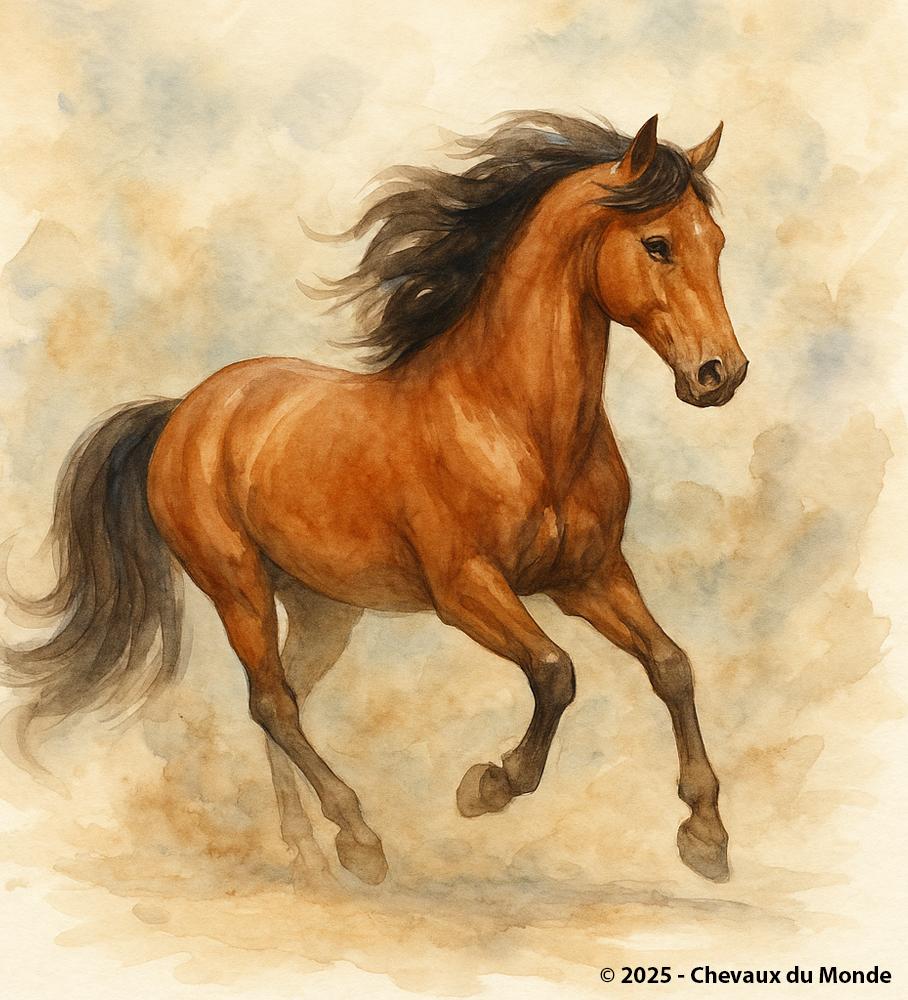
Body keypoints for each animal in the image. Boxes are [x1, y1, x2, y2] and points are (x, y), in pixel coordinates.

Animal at [3, 112, 748, 886]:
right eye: (658, 244)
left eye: (717, 242)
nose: (720, 373)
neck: (516, 423)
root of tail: (185, 411)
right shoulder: (466, 589)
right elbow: (555, 672)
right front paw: (488, 785)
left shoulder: (589, 576)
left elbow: (671, 666)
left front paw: (706, 835)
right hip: (236, 584)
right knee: (273, 702)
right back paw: (358, 838)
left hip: (322, 607)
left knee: (282, 701)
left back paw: (306, 850)